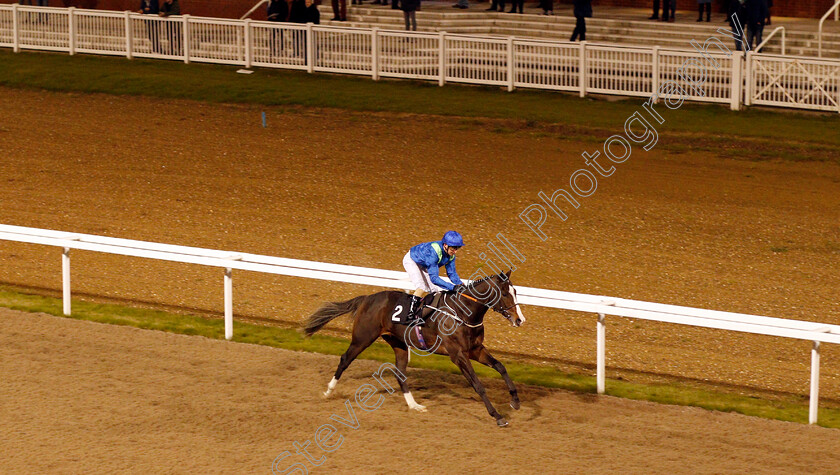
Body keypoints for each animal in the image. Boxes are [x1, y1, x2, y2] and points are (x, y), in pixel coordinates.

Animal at [302, 272, 524, 428]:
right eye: (505, 293)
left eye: (516, 292)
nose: (519, 319)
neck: (463, 312)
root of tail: (367, 299)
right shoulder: (458, 355)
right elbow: (478, 385)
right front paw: (498, 416)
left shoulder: (475, 350)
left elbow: (501, 367)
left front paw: (515, 401)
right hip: (362, 339)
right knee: (345, 359)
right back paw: (328, 391)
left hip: (398, 343)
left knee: (400, 374)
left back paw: (414, 405)